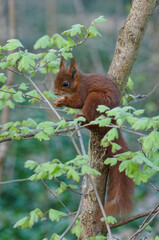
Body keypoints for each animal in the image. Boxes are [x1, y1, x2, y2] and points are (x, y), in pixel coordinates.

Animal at [53, 57, 134, 219]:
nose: (55, 92)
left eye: (65, 84)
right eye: (55, 79)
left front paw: (61, 101)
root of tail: (111, 123)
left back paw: (83, 120)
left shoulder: (83, 91)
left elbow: (78, 102)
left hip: (95, 99)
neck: (78, 82)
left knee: (91, 119)